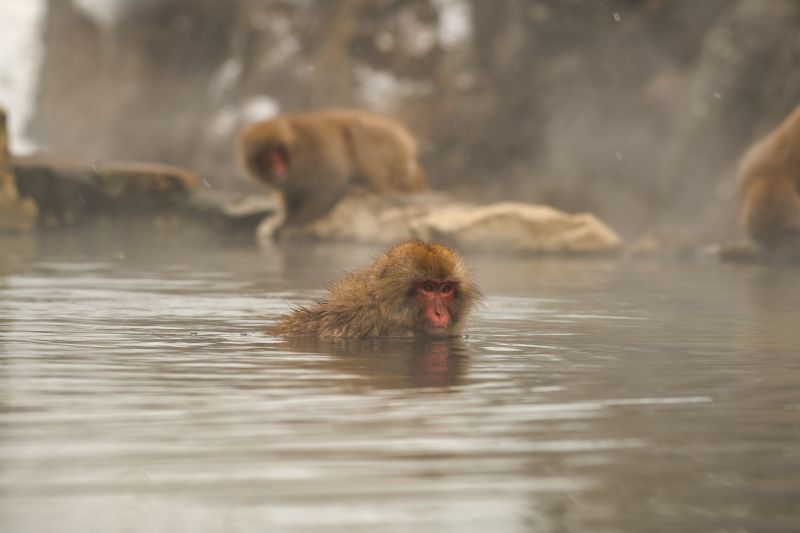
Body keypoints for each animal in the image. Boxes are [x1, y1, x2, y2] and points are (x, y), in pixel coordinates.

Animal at [238, 108, 428, 224]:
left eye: (277, 153)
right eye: (266, 157)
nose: (276, 167)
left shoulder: (317, 149)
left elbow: (330, 181)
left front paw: (294, 225)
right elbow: (292, 196)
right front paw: (287, 218)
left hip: (393, 153)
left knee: (359, 132)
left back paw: (371, 188)